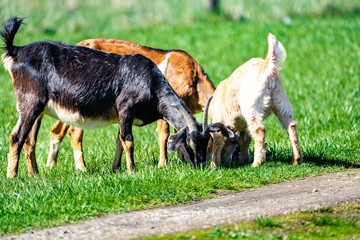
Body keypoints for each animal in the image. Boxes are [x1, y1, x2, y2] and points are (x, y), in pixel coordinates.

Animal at [44, 38, 214, 171]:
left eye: (209, 141)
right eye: (192, 144)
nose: (202, 166)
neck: (194, 77)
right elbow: (164, 134)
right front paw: (163, 164)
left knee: (57, 130)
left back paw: (50, 166)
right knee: (75, 132)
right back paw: (82, 168)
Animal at [210, 32, 302, 168]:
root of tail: (267, 66)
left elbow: (218, 141)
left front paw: (214, 165)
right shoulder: (244, 127)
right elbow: (244, 140)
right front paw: (243, 160)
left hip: (252, 107)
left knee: (259, 130)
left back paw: (257, 163)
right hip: (282, 103)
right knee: (291, 126)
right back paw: (296, 160)